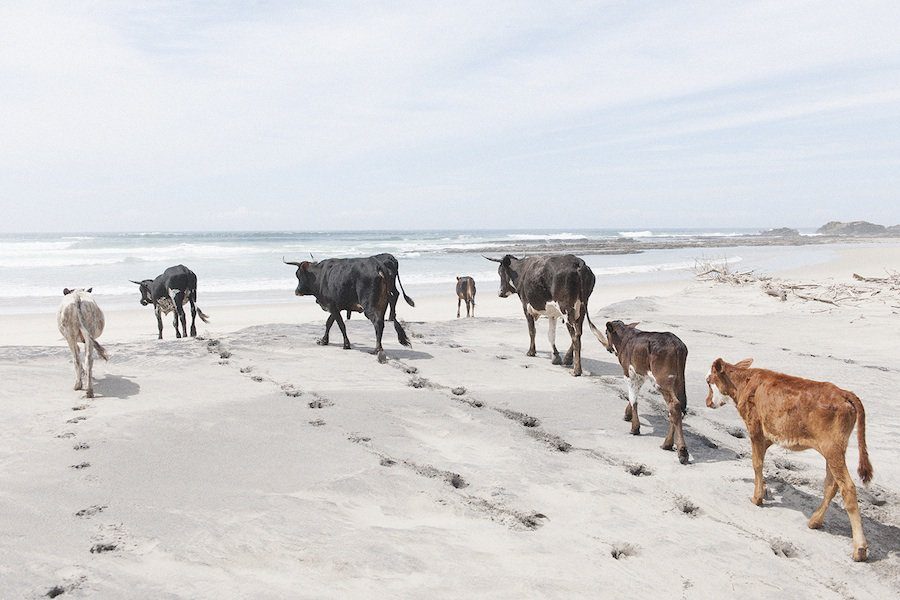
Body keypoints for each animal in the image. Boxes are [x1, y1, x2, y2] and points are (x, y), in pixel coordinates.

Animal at [284, 255, 413, 361]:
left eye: (299, 275)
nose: (297, 291)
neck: (320, 275)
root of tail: (378, 265)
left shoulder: (332, 305)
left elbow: (341, 325)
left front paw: (346, 344)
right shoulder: (336, 306)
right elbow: (329, 322)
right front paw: (324, 340)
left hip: (369, 306)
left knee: (378, 323)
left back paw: (377, 349)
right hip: (382, 304)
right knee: (382, 321)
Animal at [600, 321, 690, 464]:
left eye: (605, 332)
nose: (608, 348)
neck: (625, 336)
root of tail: (676, 344)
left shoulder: (628, 372)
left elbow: (633, 398)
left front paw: (635, 428)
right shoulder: (640, 373)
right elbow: (634, 395)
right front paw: (628, 414)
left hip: (662, 380)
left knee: (674, 405)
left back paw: (681, 451)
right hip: (679, 381)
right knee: (678, 407)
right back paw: (667, 444)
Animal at [706, 358, 873, 561]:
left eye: (708, 381)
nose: (707, 402)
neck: (743, 382)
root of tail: (844, 392)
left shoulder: (754, 429)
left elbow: (756, 463)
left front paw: (757, 498)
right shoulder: (768, 434)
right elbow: (761, 461)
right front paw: (764, 490)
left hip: (832, 448)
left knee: (847, 487)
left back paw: (859, 549)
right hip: (834, 450)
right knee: (831, 484)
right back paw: (815, 521)